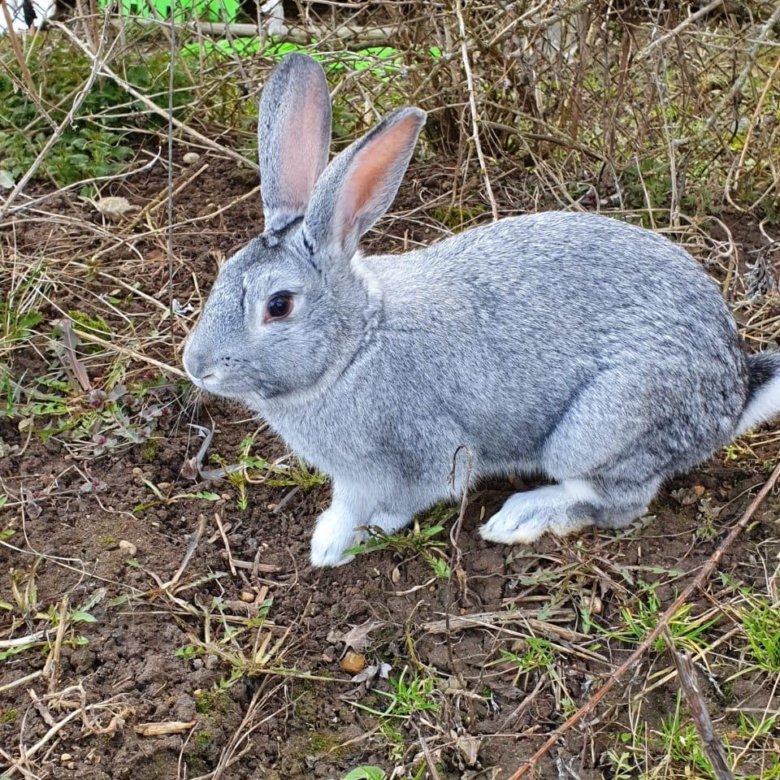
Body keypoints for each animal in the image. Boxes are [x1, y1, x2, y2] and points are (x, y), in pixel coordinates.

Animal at [184, 54, 780, 568]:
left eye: (279, 305)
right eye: (222, 273)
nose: (197, 366)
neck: (356, 346)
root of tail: (733, 389)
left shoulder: (425, 455)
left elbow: (402, 502)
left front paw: (354, 540)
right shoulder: (353, 478)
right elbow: (347, 504)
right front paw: (327, 541)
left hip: (601, 427)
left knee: (617, 500)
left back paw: (520, 518)